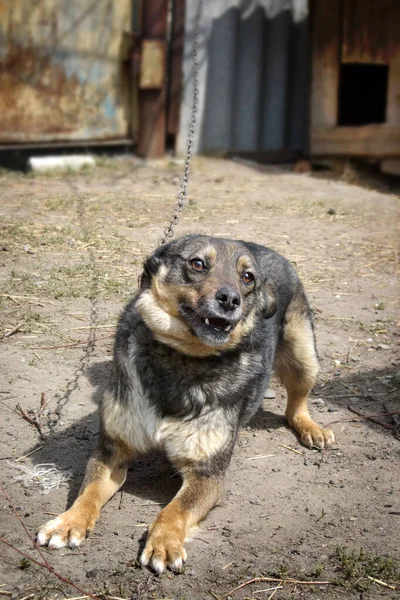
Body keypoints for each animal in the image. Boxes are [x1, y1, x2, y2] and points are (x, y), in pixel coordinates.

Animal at [36, 233, 334, 572]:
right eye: (198, 263)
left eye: (247, 277)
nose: (230, 299)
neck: (183, 358)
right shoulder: (111, 453)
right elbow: (88, 492)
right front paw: (68, 522)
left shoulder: (207, 474)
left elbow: (175, 509)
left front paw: (164, 542)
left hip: (303, 355)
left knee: (297, 400)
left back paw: (311, 428)